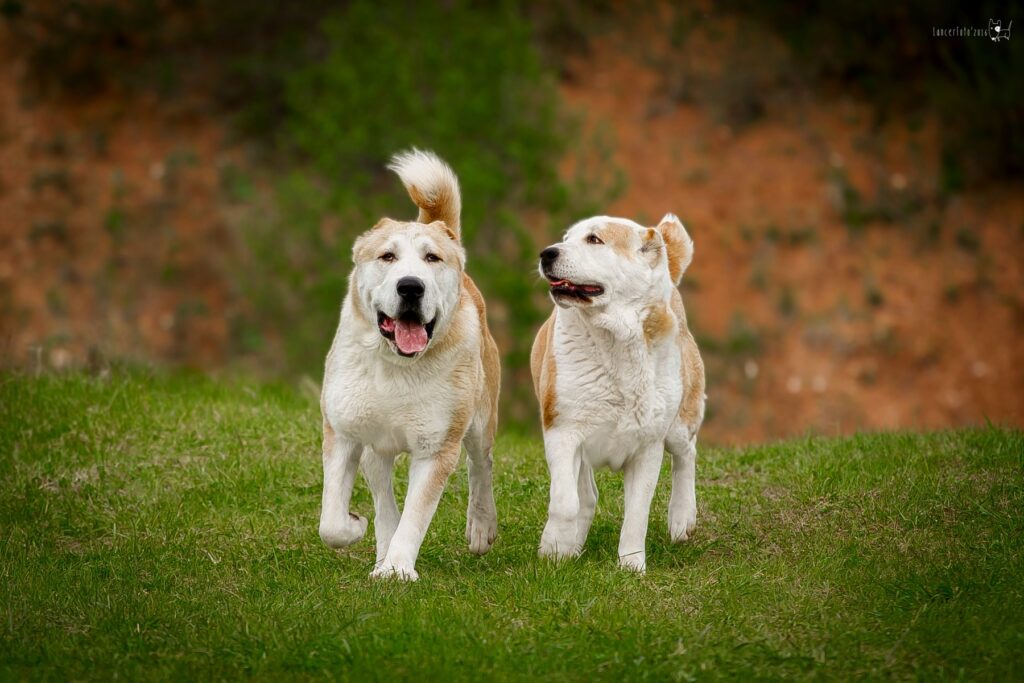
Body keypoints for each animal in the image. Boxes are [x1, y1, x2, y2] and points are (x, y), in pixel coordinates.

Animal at [317, 149, 497, 581]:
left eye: (432, 258)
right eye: (388, 256)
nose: (411, 286)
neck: (395, 367)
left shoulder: (436, 449)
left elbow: (415, 515)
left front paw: (397, 570)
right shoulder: (342, 433)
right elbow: (332, 521)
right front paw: (357, 527)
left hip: (480, 419)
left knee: (480, 467)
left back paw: (481, 528)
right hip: (375, 447)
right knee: (383, 498)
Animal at [528, 214, 704, 573]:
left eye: (594, 240)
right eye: (566, 239)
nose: (547, 253)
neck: (615, 342)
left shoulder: (648, 447)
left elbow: (637, 512)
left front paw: (632, 565)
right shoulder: (562, 432)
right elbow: (566, 501)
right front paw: (556, 548)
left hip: (678, 425)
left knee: (686, 454)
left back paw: (682, 517)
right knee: (585, 494)